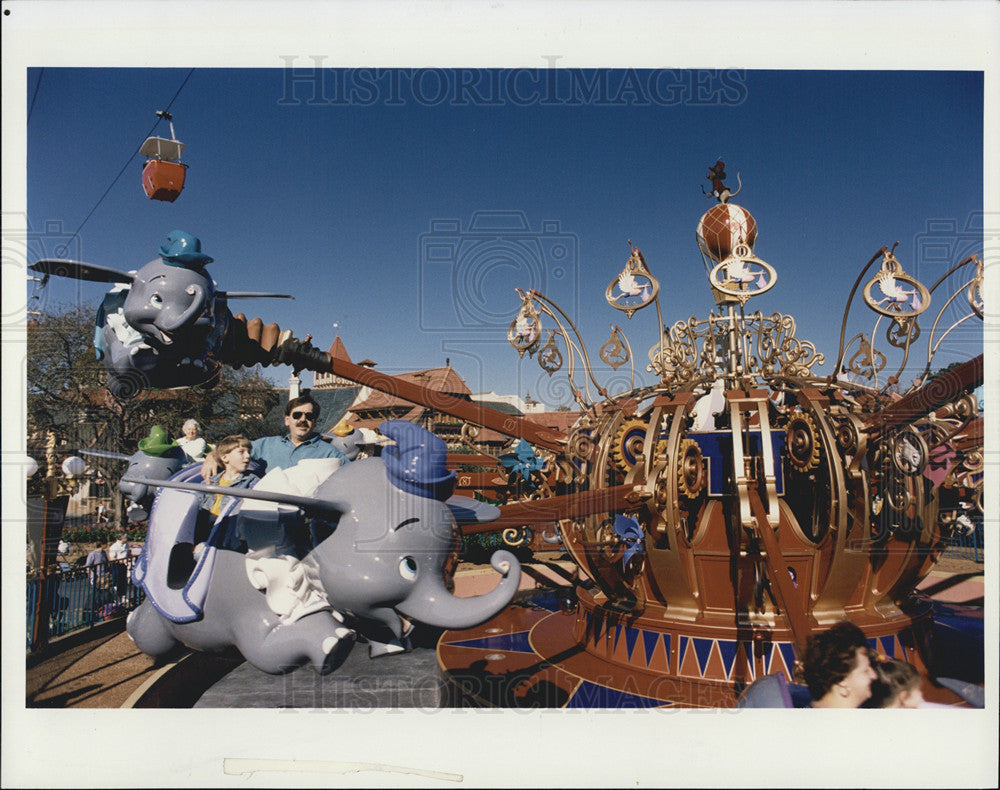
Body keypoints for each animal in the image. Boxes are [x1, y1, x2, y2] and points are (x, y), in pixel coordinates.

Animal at [125, 424, 524, 676]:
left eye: (452, 564)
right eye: (409, 565)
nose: (503, 563)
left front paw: (388, 646)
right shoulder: (249, 613)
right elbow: (268, 652)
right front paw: (336, 644)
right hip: (165, 614)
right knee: (149, 630)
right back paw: (131, 626)